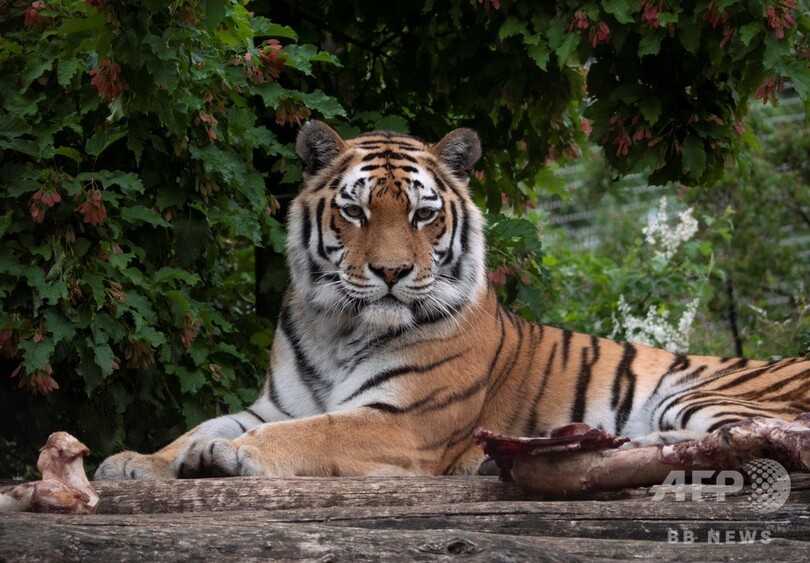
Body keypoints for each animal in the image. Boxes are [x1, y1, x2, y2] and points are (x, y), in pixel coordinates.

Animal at [93, 122, 808, 480]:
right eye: (354, 210)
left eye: (423, 214)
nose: (389, 271)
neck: (339, 328)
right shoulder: (271, 403)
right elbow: (203, 425)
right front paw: (135, 462)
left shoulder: (403, 421)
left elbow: (314, 431)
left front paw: (231, 457)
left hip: (704, 395)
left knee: (768, 441)